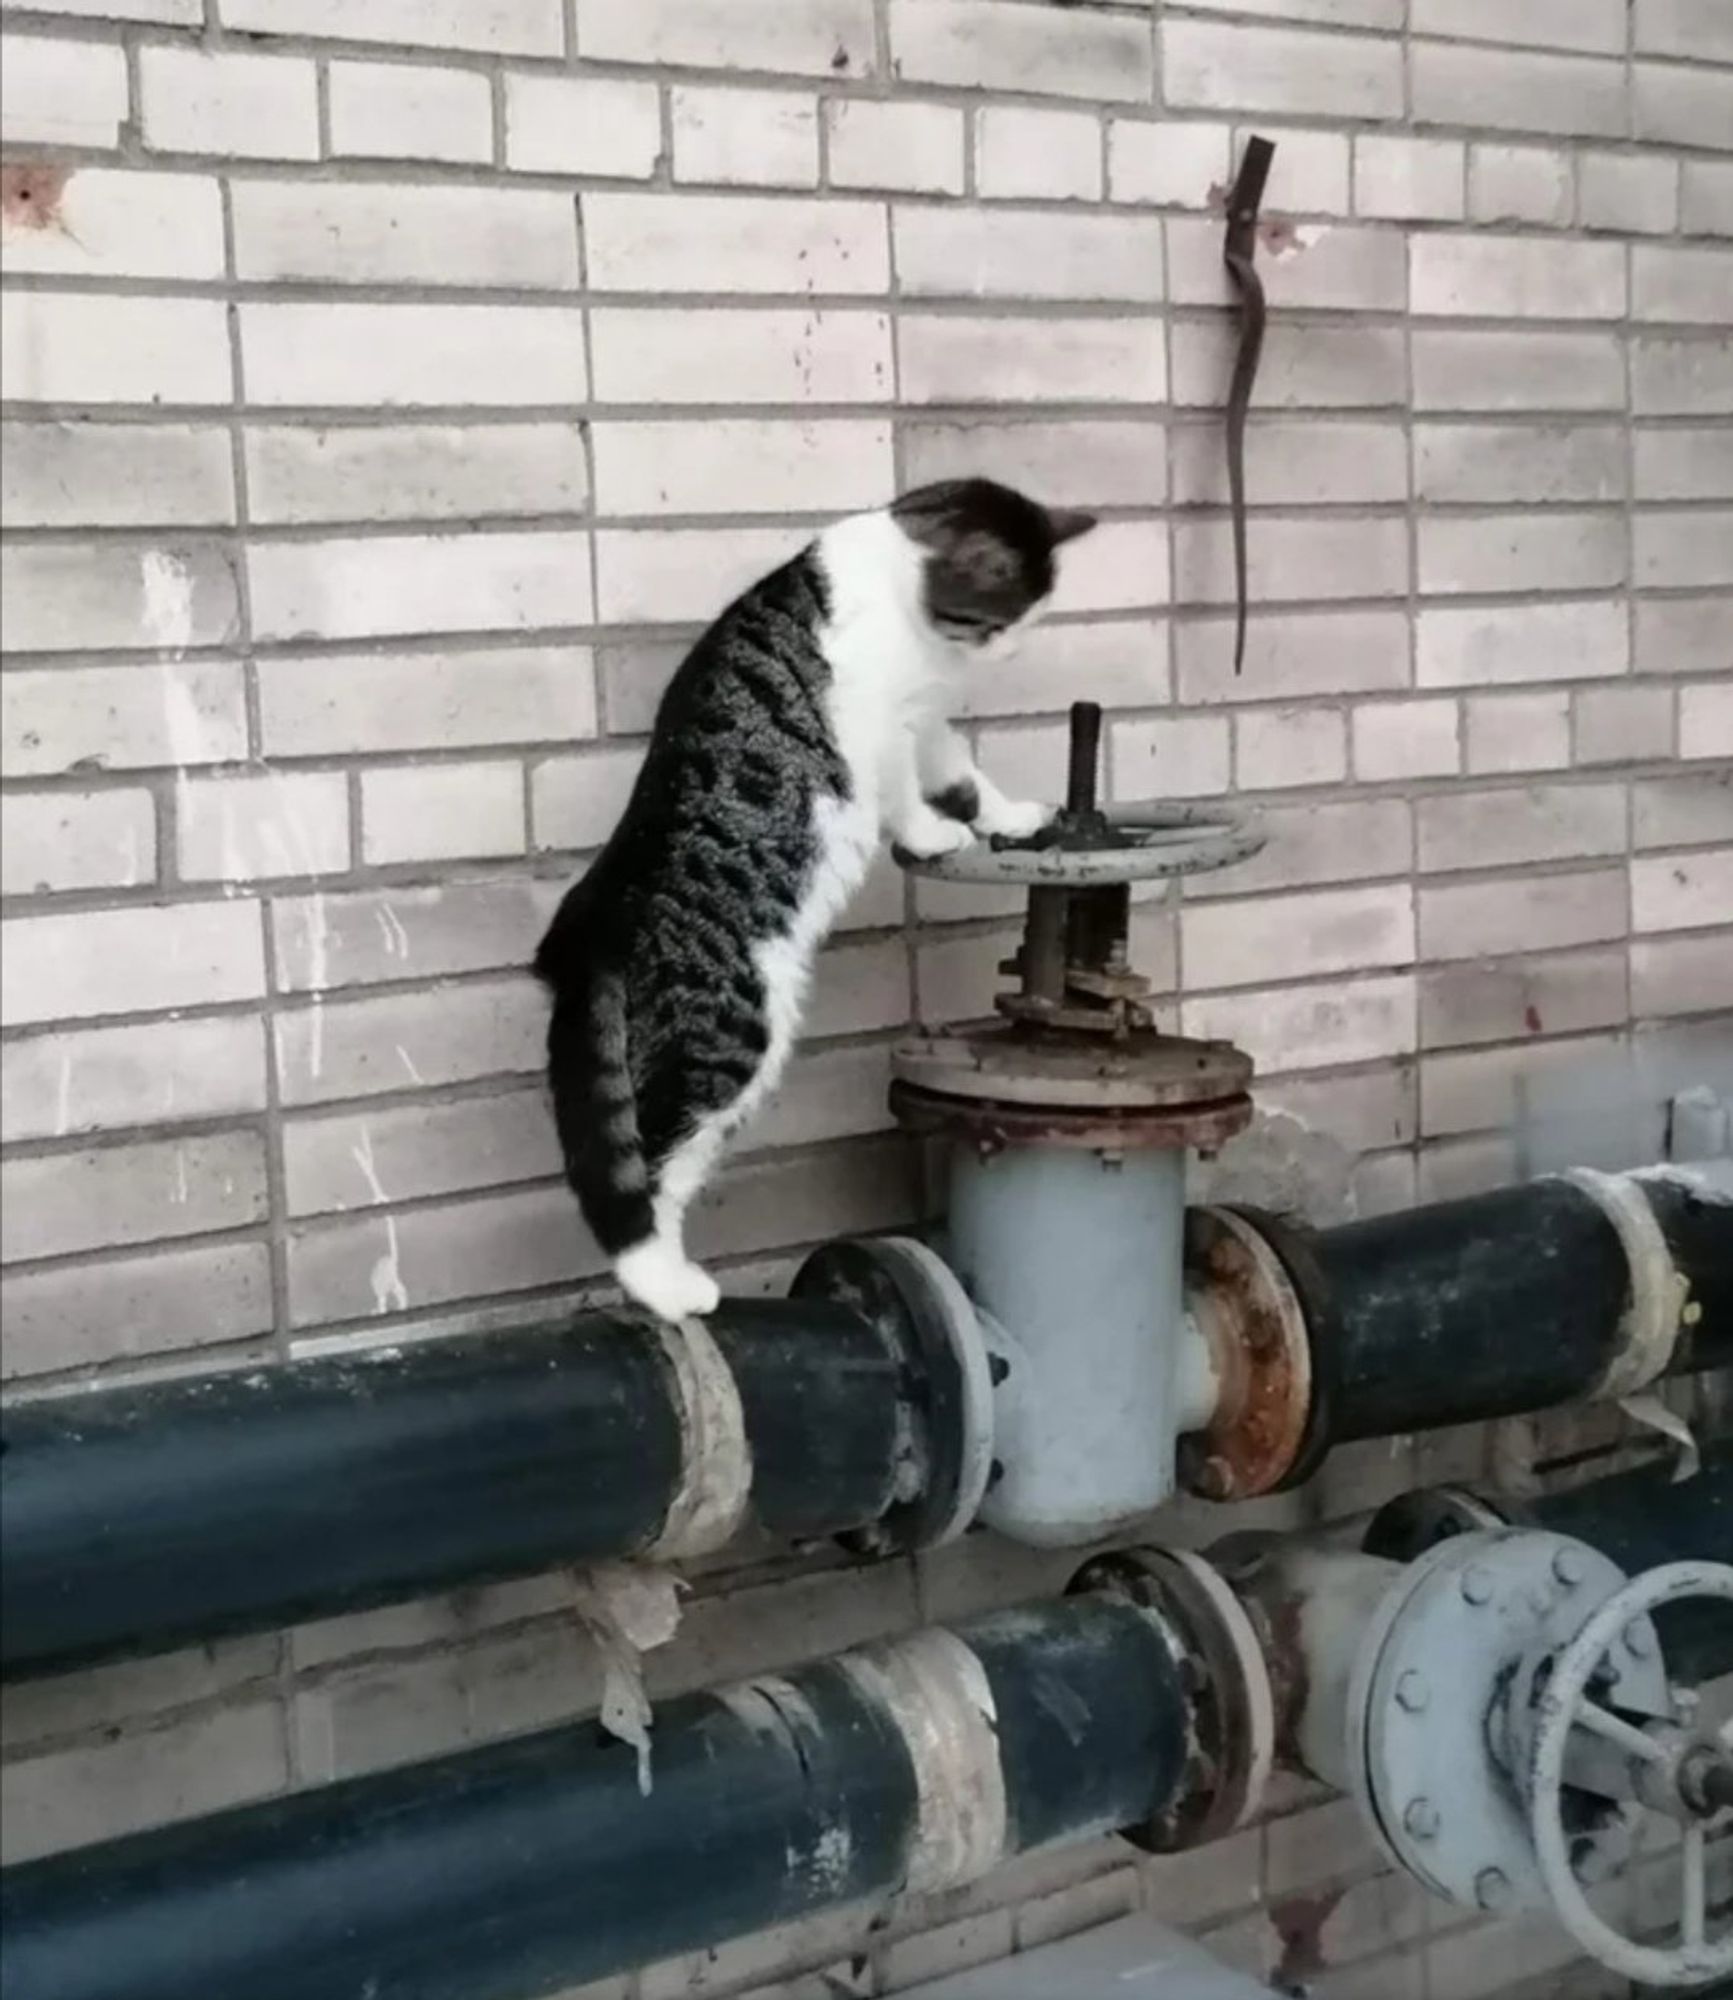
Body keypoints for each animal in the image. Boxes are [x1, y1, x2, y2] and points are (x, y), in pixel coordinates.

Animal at [528, 480, 1096, 1328]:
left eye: (1028, 621)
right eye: (999, 621)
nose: (1010, 653)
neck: (902, 588)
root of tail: (595, 916)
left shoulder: (927, 719)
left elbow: (962, 773)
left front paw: (1013, 817)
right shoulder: (880, 724)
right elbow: (905, 793)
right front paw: (935, 836)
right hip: (729, 1031)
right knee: (653, 1162)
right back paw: (670, 1287)